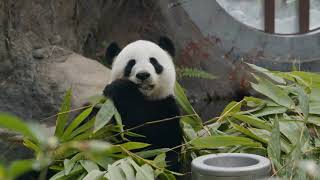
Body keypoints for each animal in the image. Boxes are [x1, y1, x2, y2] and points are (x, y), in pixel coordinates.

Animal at [104, 36, 181, 170]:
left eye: (154, 61)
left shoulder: (167, 108)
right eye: (131, 63)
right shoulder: (114, 118)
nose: (143, 75)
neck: (144, 97)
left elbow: (159, 140)